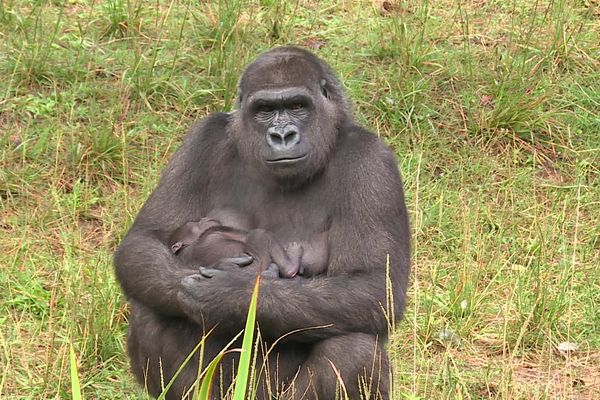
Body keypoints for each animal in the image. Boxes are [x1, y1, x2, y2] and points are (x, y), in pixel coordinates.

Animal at [169, 211, 328, 276]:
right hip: (258, 265)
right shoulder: (214, 231)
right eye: (196, 223)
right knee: (260, 234)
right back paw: (291, 265)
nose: (204, 218)